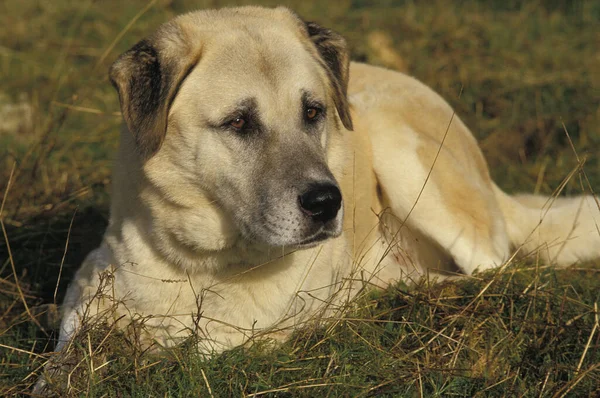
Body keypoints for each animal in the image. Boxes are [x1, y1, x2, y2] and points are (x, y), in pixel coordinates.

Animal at [45, 3, 600, 366]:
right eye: (239, 122)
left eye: (313, 112)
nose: (326, 202)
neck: (205, 267)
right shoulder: (87, 294)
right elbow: (65, 356)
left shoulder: (249, 337)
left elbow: (215, 350)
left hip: (403, 153)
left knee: (497, 272)